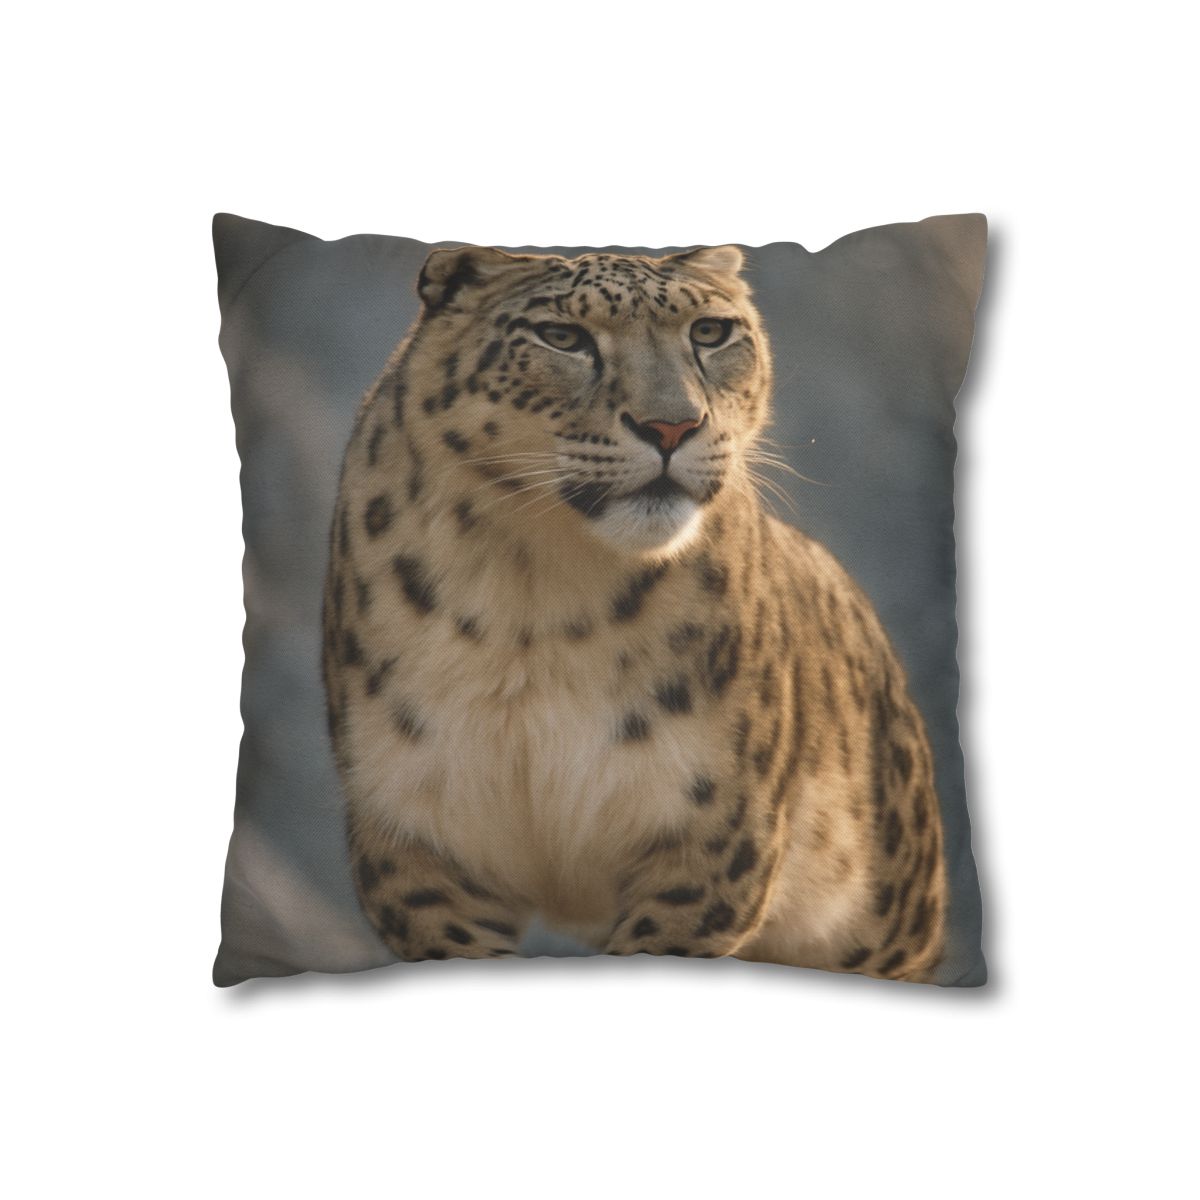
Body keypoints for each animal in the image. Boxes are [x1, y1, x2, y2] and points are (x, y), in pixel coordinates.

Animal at [322, 243, 947, 982]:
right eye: (562, 337)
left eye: (710, 332)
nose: (672, 425)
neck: (534, 593)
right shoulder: (417, 840)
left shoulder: (709, 839)